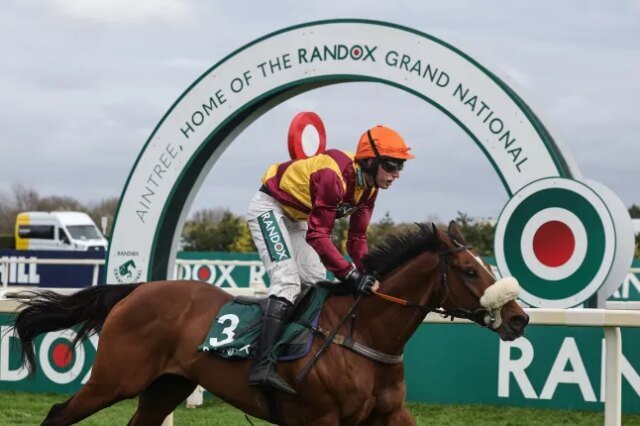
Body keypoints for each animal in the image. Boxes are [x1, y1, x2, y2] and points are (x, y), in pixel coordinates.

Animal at [13, 221, 529, 425]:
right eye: (468, 271)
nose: (519, 317)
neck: (362, 334)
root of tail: (137, 289)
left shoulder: (389, 415)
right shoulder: (320, 420)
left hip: (167, 385)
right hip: (115, 379)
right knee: (59, 414)